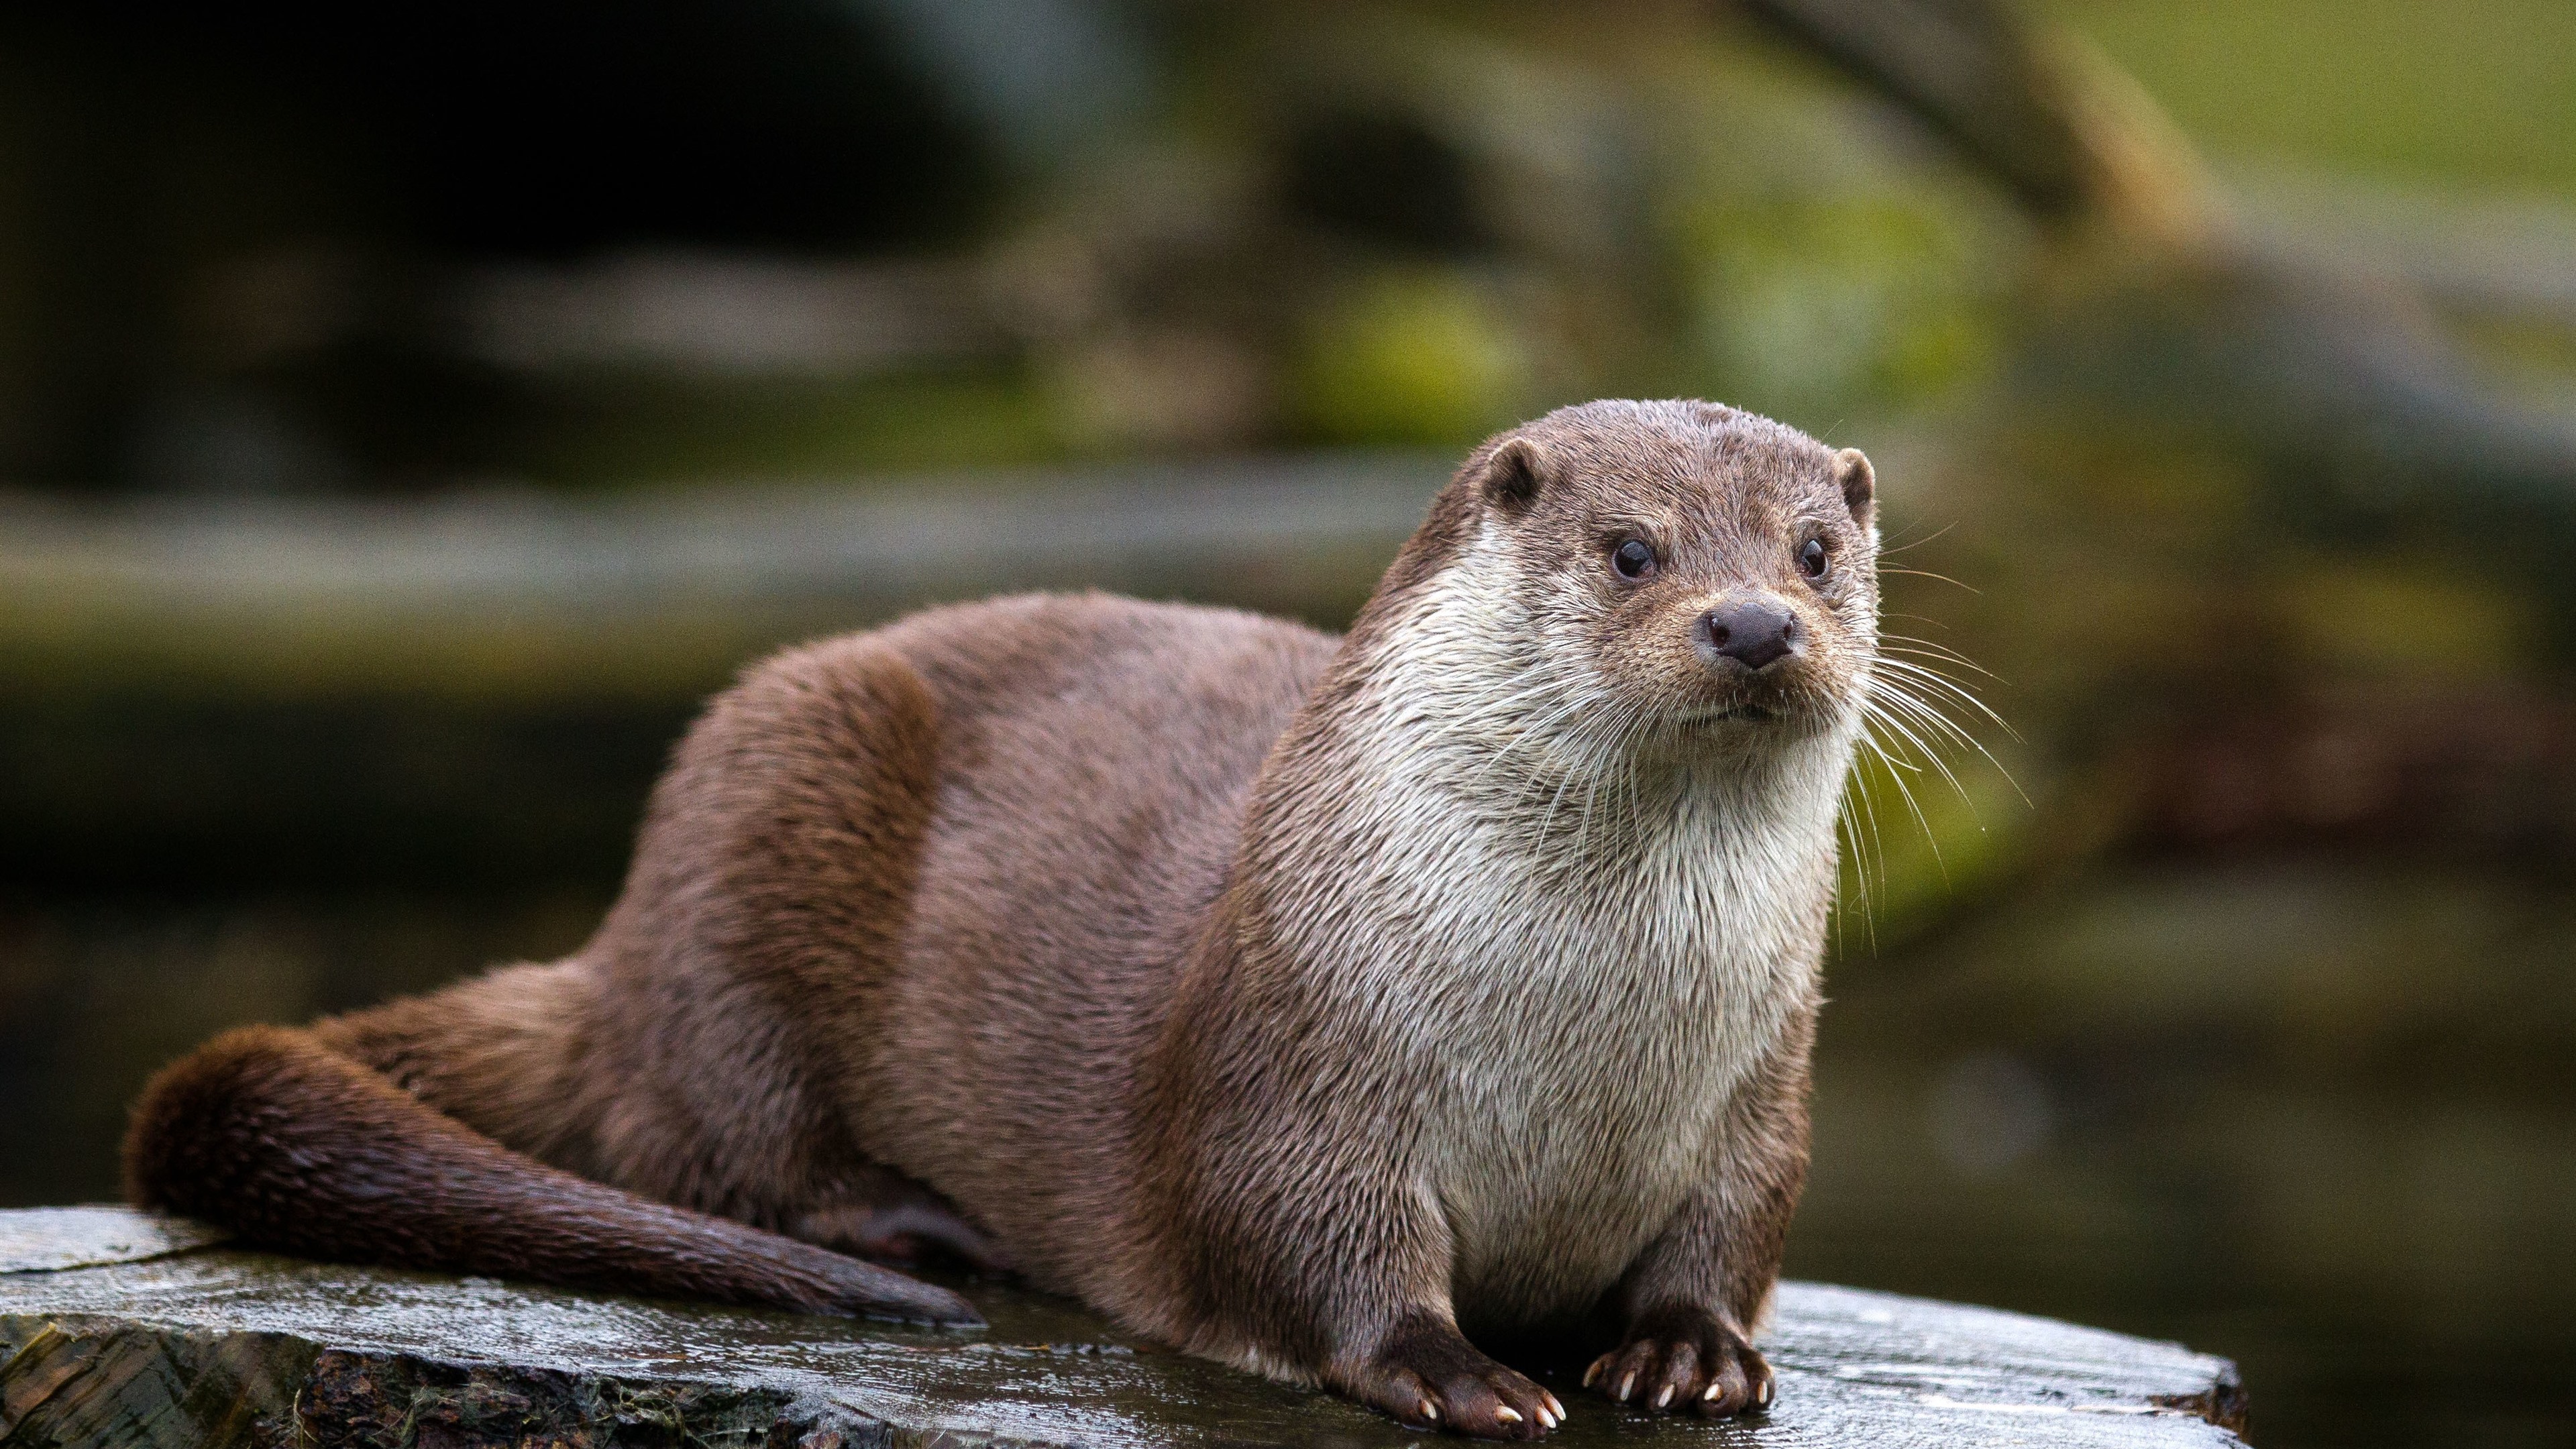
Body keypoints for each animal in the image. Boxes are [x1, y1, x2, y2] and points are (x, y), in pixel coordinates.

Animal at [126, 398, 1880, 1439]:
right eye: (1632, 548)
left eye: (1817, 550)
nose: (1753, 623)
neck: (1584, 1042)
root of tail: (617, 949)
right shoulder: (1292, 1058)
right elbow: (1302, 1239)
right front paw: (1459, 1371)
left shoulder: (1764, 1088)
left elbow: (1737, 1228)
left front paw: (1686, 1353)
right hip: (761, 803)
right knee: (704, 1134)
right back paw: (914, 1227)